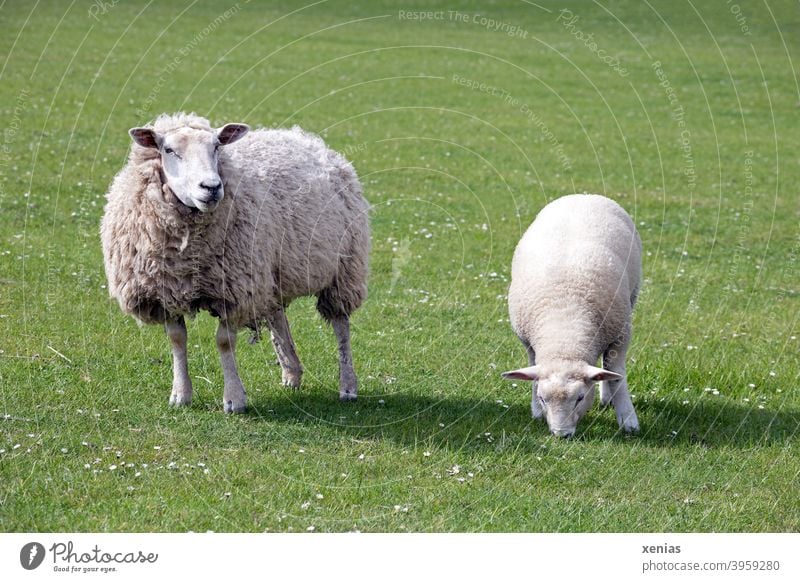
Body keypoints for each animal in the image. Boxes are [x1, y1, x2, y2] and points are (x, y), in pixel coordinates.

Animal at [101, 113, 372, 416]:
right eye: (169, 150)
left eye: (217, 147)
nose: (211, 187)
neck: (188, 254)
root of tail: (301, 137)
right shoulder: (165, 291)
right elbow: (177, 339)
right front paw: (181, 395)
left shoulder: (235, 290)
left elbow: (223, 341)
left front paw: (233, 399)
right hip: (270, 272)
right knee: (278, 317)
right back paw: (292, 373)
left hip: (344, 268)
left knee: (340, 324)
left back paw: (347, 385)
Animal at [504, 196, 640, 438]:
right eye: (542, 398)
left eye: (580, 398)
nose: (562, 434)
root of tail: (584, 195)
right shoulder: (528, 342)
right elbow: (533, 367)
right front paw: (536, 411)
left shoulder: (621, 334)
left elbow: (616, 374)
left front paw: (628, 419)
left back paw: (607, 397)